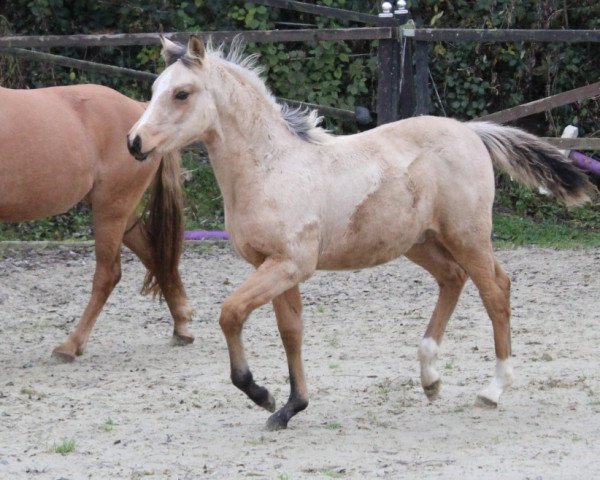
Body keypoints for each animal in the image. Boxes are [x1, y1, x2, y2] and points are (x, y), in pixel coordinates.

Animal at [0, 83, 192, 360]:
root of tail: (139, 113)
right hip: (121, 213)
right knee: (155, 257)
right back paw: (182, 326)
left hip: (110, 210)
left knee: (108, 275)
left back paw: (71, 345)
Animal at [127, 35, 596, 430]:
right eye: (155, 88)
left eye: (182, 93)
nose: (134, 142)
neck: (271, 167)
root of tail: (471, 131)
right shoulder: (276, 267)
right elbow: (291, 332)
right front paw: (291, 407)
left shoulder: (288, 265)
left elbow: (231, 314)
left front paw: (260, 394)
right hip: (420, 243)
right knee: (452, 279)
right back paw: (430, 378)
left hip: (468, 236)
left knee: (496, 289)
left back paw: (493, 390)